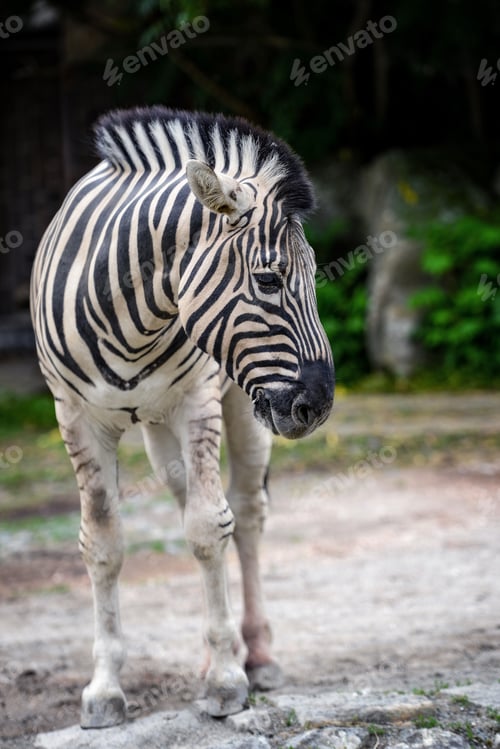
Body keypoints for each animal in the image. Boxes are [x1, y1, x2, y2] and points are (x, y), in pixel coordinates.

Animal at [30, 105, 335, 728]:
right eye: (268, 280)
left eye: (315, 279)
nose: (319, 406)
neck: (128, 310)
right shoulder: (75, 416)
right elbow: (103, 542)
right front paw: (104, 689)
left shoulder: (198, 401)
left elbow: (209, 529)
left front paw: (227, 682)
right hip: (157, 428)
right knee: (191, 503)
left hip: (243, 407)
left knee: (244, 514)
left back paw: (256, 655)